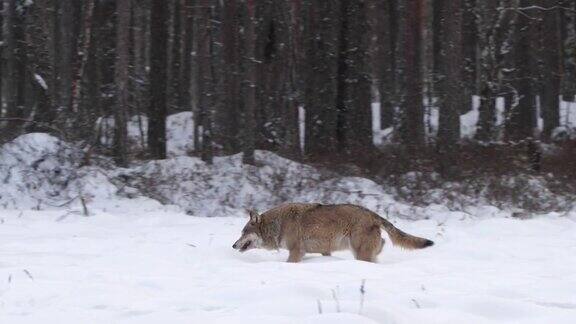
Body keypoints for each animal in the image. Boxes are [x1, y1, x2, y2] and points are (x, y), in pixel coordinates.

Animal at [231, 202, 432, 264]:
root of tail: (372, 214)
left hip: (359, 251)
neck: (278, 224)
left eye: (243, 232)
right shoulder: (322, 251)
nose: (233, 245)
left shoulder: (295, 252)